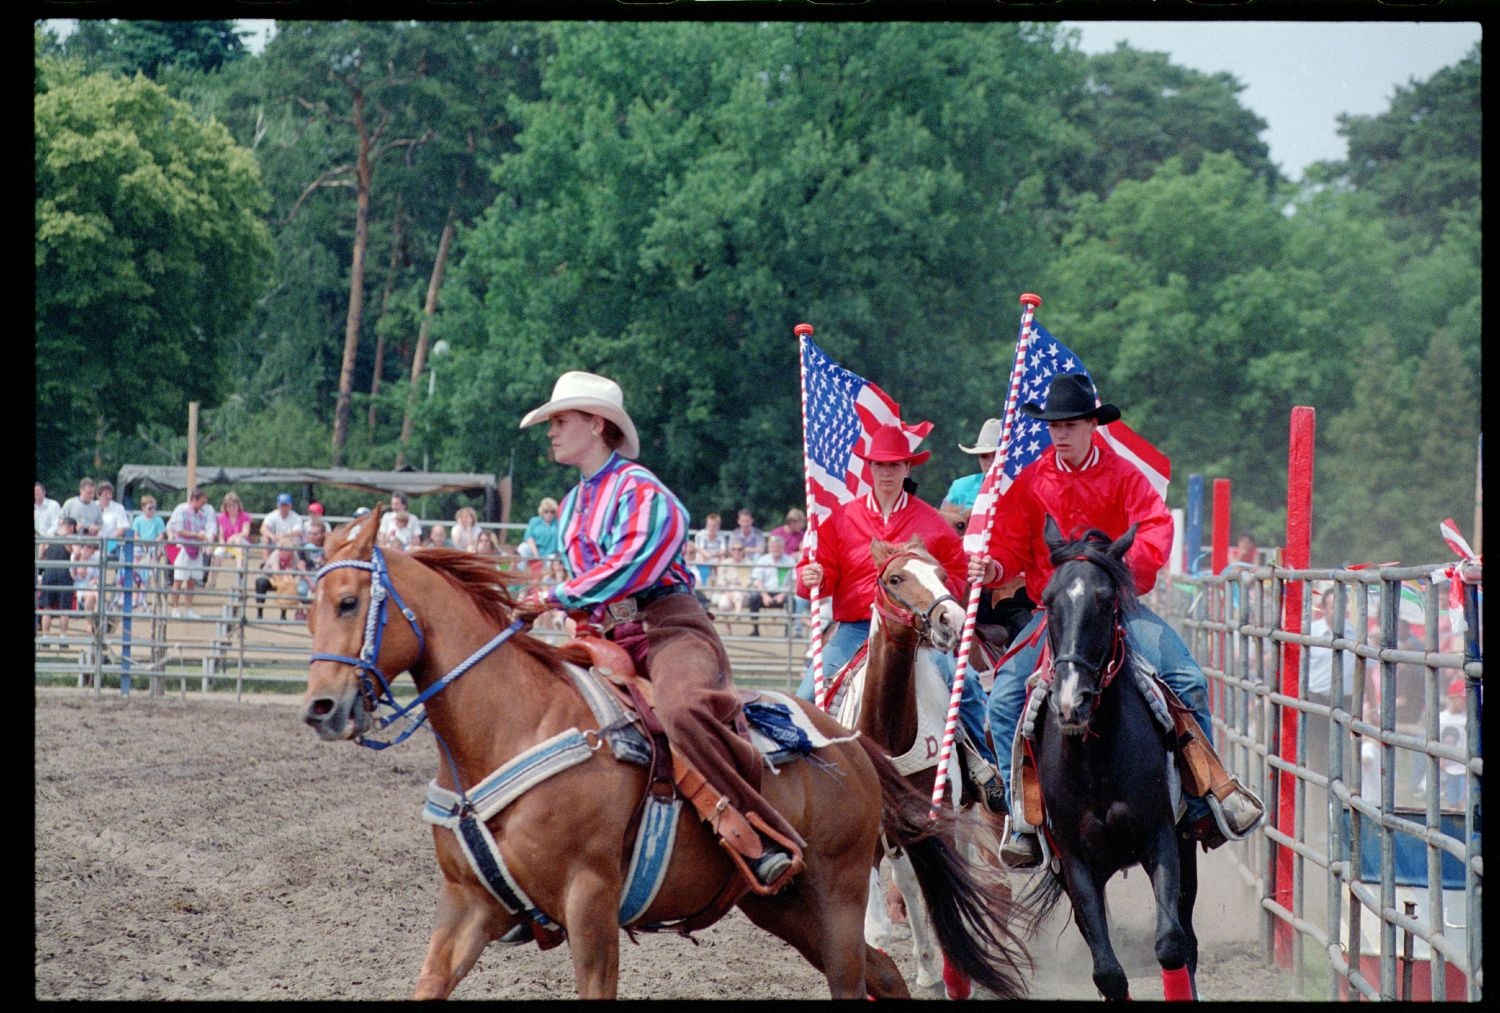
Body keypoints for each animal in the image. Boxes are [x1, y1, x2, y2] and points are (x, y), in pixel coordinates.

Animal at [301, 510, 1032, 1002]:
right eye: (311, 606)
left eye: (350, 601)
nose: (322, 707)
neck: (514, 724)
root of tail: (851, 744)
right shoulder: (467, 904)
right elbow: (430, 980)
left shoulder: (590, 901)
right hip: (779, 901)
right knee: (877, 971)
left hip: (839, 886)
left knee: (856, 976)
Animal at [1020, 519, 1194, 1002]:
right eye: (1048, 600)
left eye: (1106, 600)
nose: (1070, 701)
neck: (1095, 763)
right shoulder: (1076, 864)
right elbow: (1108, 973)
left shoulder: (1160, 837)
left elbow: (1170, 945)